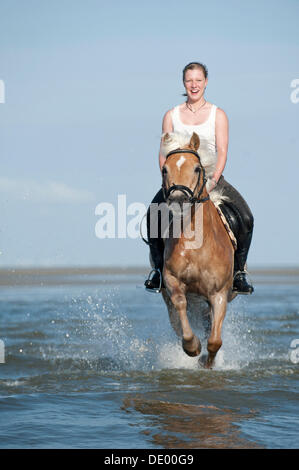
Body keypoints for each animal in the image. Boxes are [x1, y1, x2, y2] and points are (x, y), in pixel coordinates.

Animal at [156, 131, 238, 368]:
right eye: (165, 169)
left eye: (196, 168)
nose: (178, 200)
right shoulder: (172, 282)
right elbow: (181, 308)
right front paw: (192, 347)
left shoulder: (219, 294)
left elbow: (214, 340)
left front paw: (206, 362)